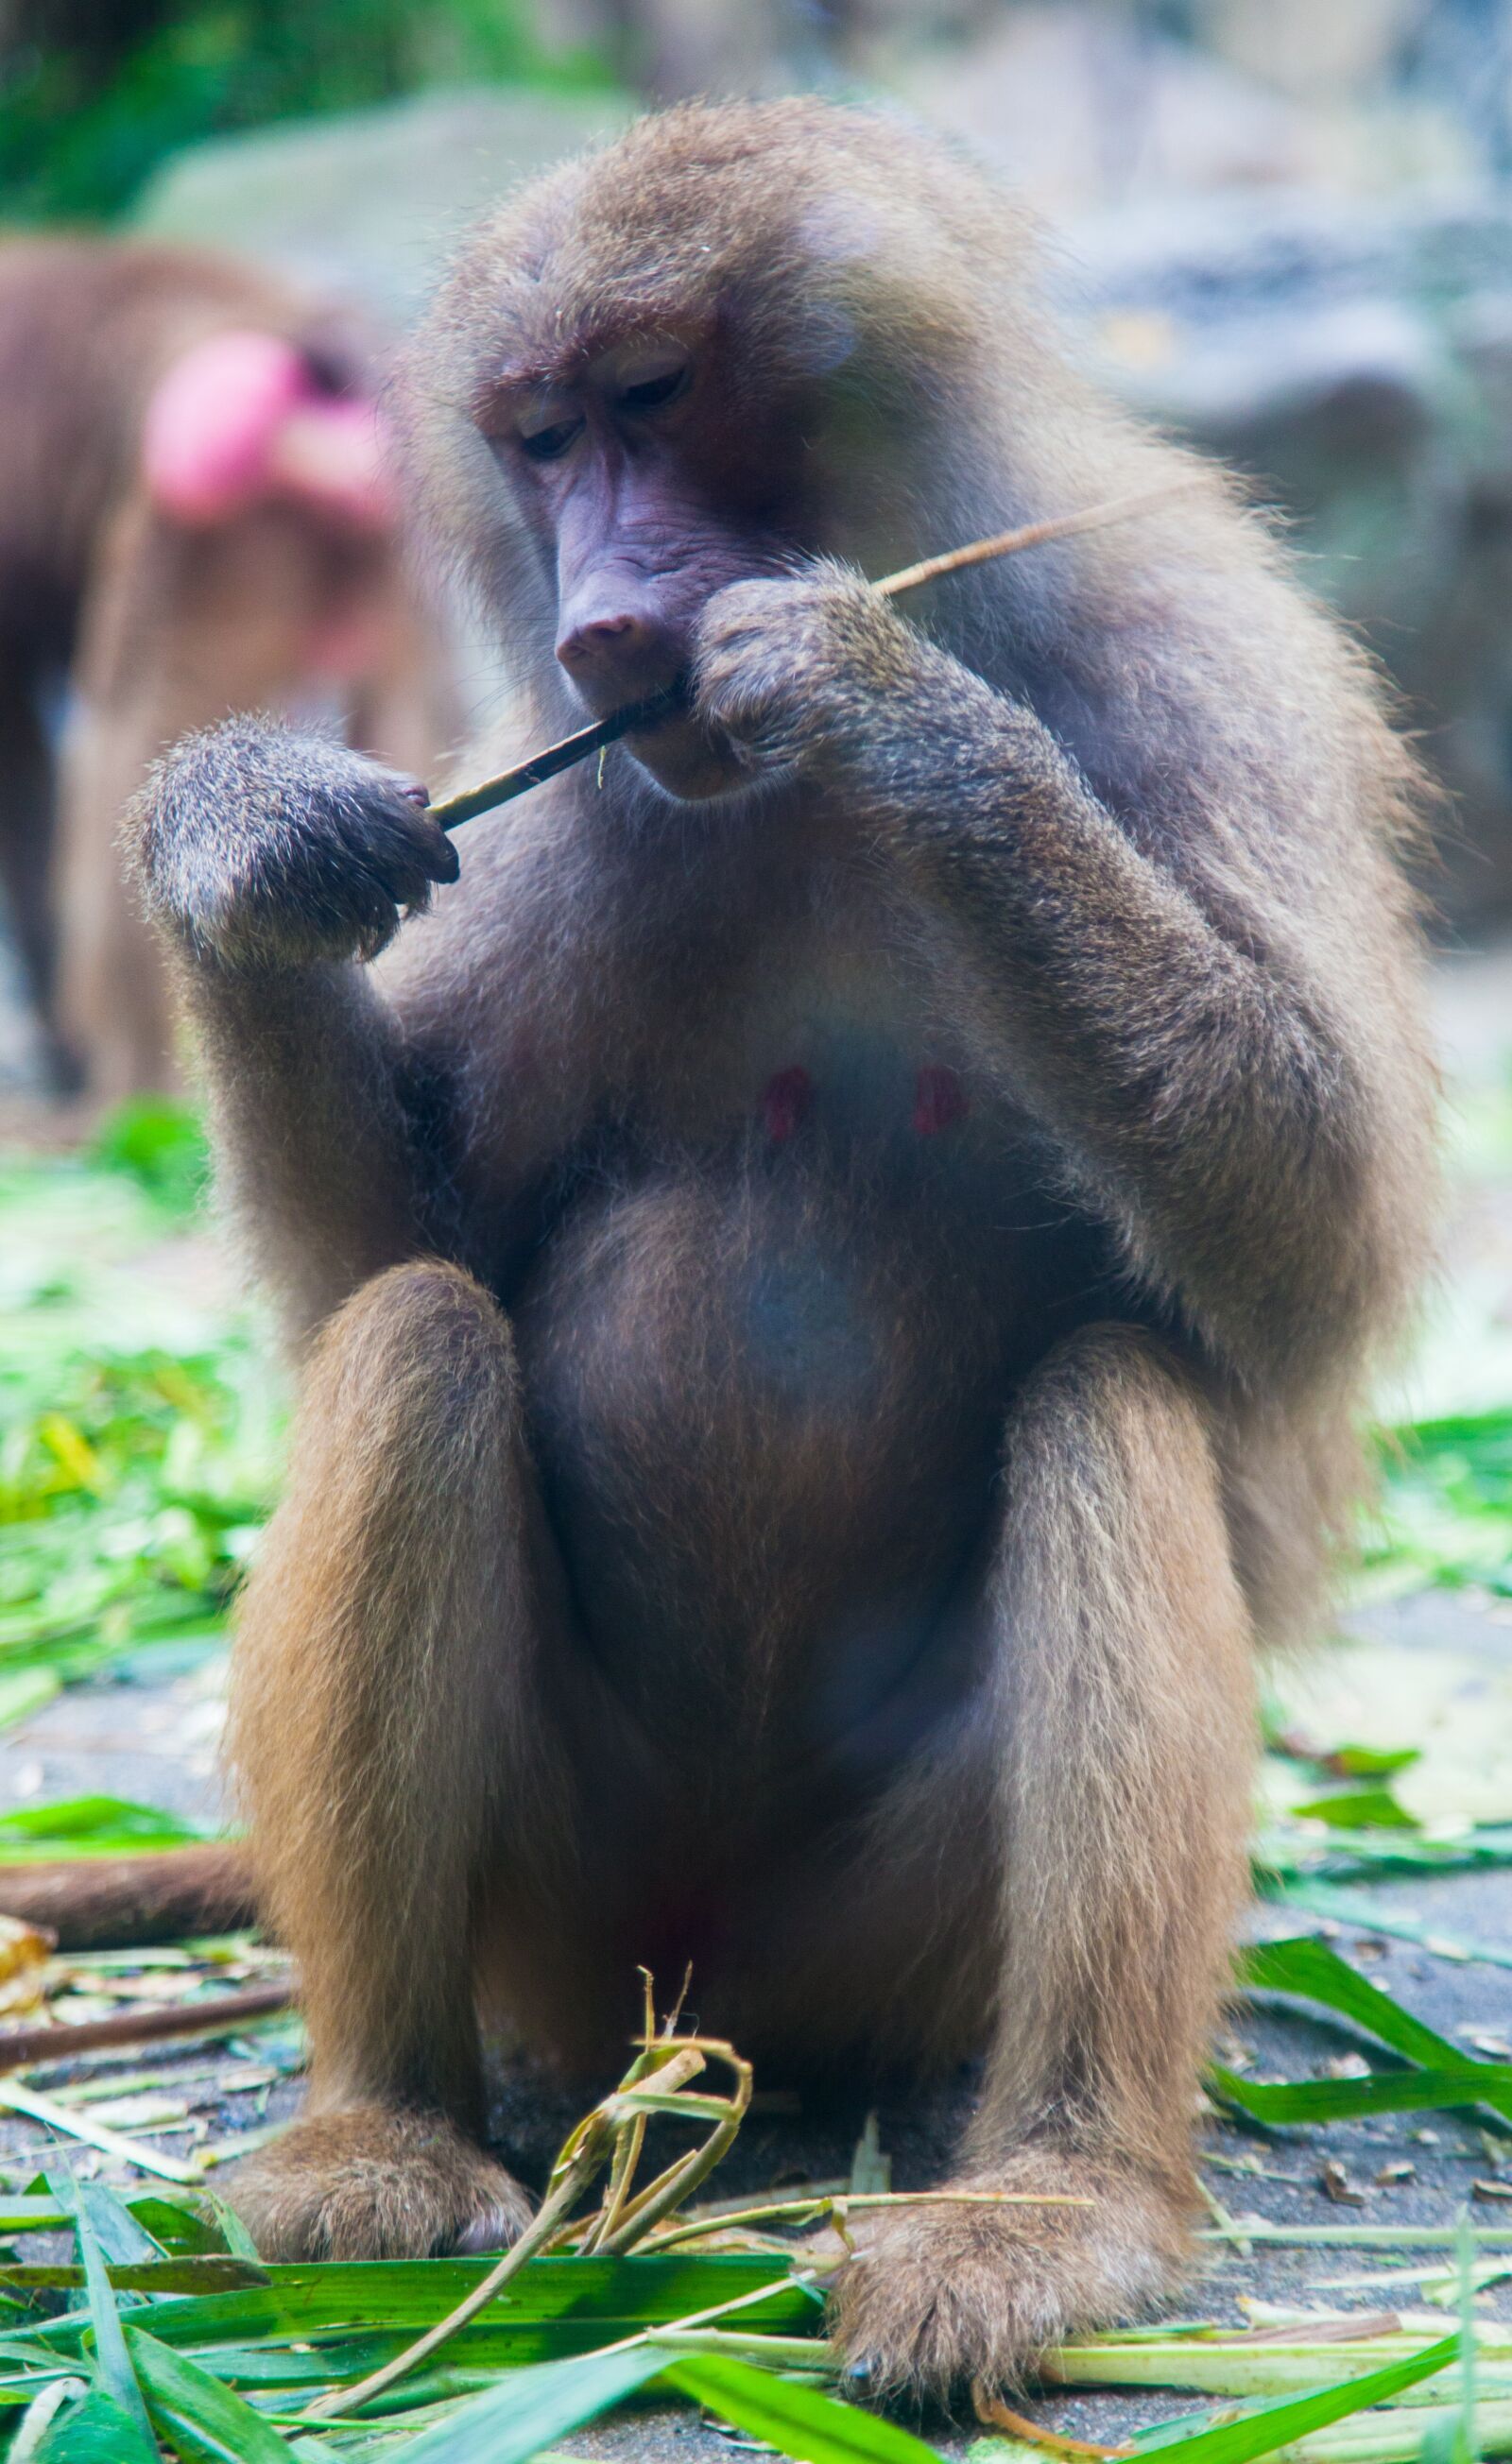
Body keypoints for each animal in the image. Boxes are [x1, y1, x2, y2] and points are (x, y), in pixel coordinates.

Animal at [73, 98, 1437, 2393]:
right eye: (538, 440)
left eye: (648, 398)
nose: (612, 618)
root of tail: (713, 2002)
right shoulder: (544, 803)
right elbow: (387, 1250)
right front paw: (240, 838)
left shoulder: (1184, 654)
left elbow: (1313, 1254)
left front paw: (899, 715)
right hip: (568, 1914)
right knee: (416, 1340)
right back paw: (383, 2131)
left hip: (894, 1934)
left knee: (1116, 1397)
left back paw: (1048, 2202)